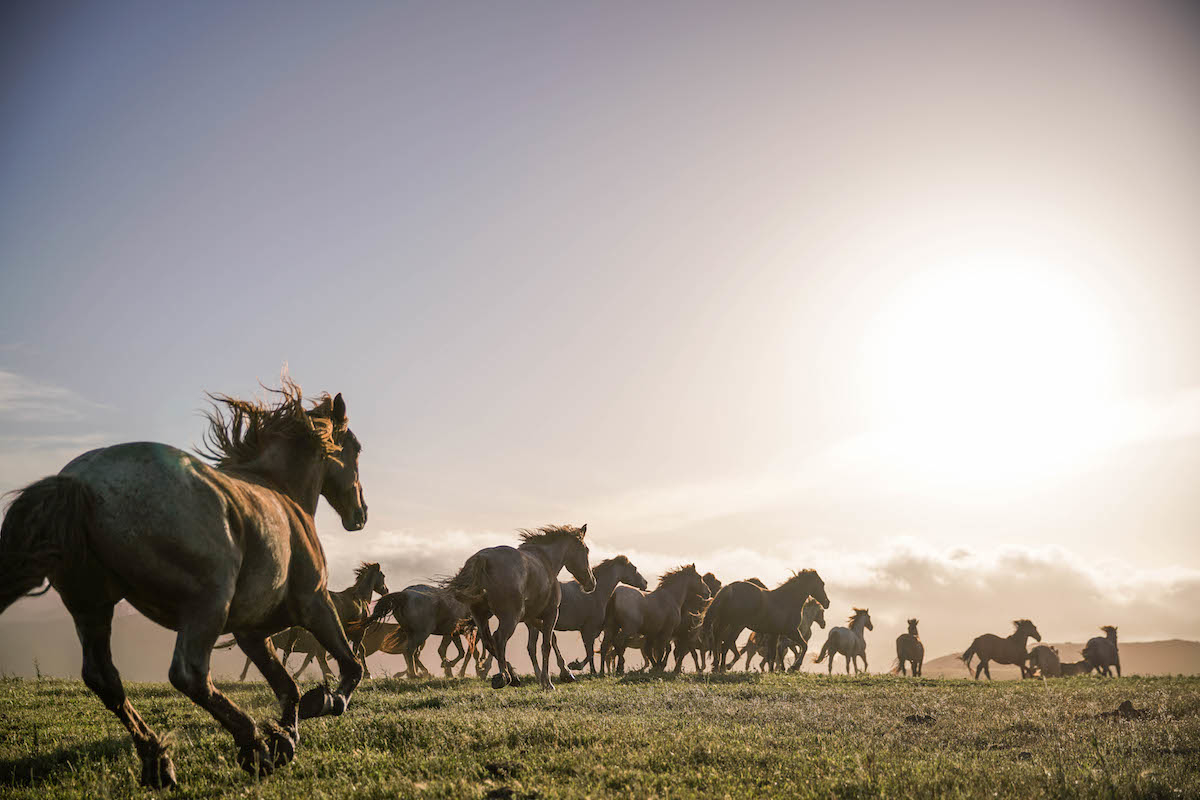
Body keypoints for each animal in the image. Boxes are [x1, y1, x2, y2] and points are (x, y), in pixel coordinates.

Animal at [0, 380, 367, 787]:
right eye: (356, 449)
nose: (360, 514)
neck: (281, 493)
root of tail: (79, 484)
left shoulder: (251, 633)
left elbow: (289, 687)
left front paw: (286, 737)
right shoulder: (315, 603)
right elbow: (350, 667)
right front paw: (321, 706)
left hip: (91, 605)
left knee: (105, 680)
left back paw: (159, 762)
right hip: (206, 604)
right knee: (188, 674)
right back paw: (251, 745)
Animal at [215, 562, 387, 681]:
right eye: (383, 576)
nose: (386, 590)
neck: (359, 598)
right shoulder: (359, 631)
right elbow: (359, 650)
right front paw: (365, 673)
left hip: (297, 630)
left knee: (290, 649)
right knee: (315, 654)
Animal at [447, 524, 595, 689]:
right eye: (586, 550)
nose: (591, 582)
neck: (546, 561)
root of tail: (482, 559)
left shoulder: (531, 618)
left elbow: (550, 640)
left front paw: (565, 673)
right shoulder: (551, 613)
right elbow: (546, 645)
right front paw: (548, 682)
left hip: (481, 615)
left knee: (488, 641)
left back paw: (513, 677)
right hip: (510, 617)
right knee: (499, 638)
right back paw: (503, 676)